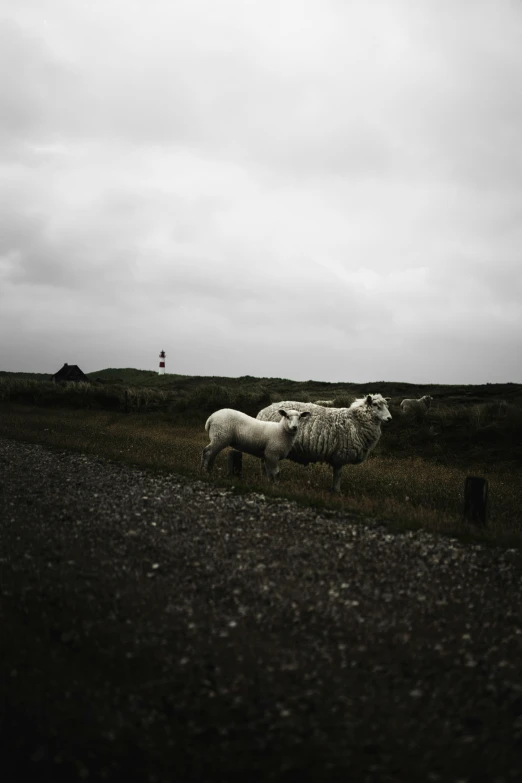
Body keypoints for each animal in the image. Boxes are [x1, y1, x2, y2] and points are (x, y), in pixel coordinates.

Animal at [256, 396, 390, 494]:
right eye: (376, 405)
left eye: (386, 406)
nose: (390, 418)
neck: (356, 420)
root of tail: (262, 411)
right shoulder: (340, 455)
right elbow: (338, 474)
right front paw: (336, 491)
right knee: (264, 462)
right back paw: (265, 479)